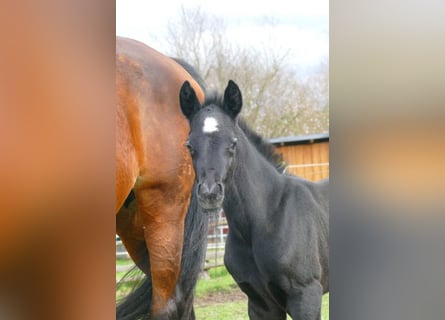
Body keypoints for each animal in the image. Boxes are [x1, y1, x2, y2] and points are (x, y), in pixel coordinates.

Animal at [179, 79, 328, 318]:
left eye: (233, 143)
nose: (210, 194)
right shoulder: (260, 303)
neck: (268, 217)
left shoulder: (306, 296)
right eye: (190, 145)